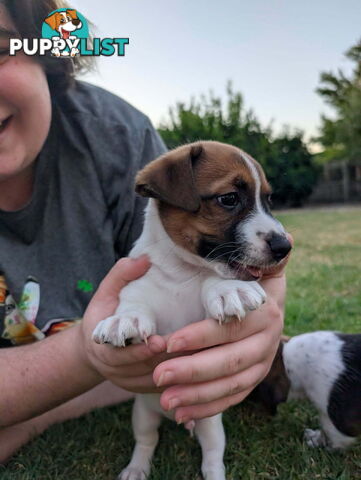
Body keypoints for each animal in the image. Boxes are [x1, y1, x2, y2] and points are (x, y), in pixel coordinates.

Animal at [92, 142, 290, 480]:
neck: (180, 273)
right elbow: (132, 301)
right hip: (142, 415)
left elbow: (214, 277)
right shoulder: (136, 285)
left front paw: (227, 289)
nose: (284, 247)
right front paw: (123, 319)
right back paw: (136, 468)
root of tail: (178, 418)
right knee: (146, 440)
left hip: (211, 424)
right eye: (229, 199)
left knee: (212, 456)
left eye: (268, 200)